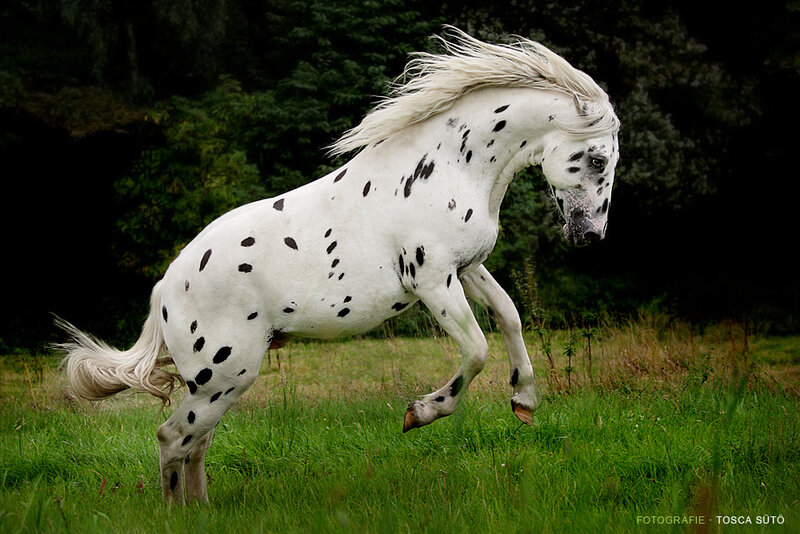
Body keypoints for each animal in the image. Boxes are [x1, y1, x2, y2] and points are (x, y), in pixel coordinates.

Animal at [57, 26, 620, 505]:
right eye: (596, 160)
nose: (592, 236)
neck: (451, 165)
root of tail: (166, 288)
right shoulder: (432, 280)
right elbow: (477, 349)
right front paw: (420, 413)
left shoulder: (466, 268)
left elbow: (509, 317)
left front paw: (524, 400)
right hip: (223, 376)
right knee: (172, 439)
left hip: (220, 384)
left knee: (194, 445)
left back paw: (202, 511)